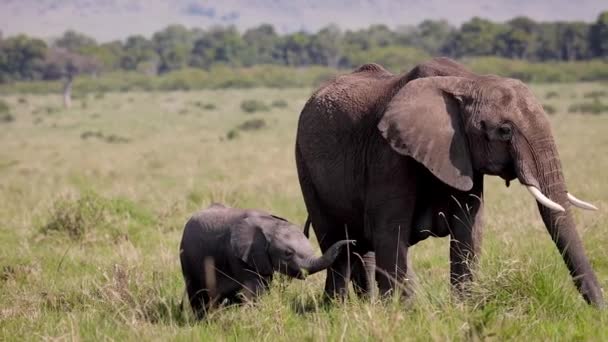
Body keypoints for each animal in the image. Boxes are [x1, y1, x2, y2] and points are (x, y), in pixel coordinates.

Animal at [178, 203, 354, 318]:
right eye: (288, 253)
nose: (352, 242)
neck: (269, 225)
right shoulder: (237, 255)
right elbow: (255, 288)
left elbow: (263, 285)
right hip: (186, 257)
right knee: (197, 293)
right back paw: (203, 321)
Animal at [296, 57, 604, 306]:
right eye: (504, 131)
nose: (598, 312)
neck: (468, 81)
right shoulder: (388, 156)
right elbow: (390, 233)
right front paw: (405, 314)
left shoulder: (463, 156)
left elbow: (469, 230)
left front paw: (462, 310)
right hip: (305, 164)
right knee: (335, 243)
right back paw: (335, 310)